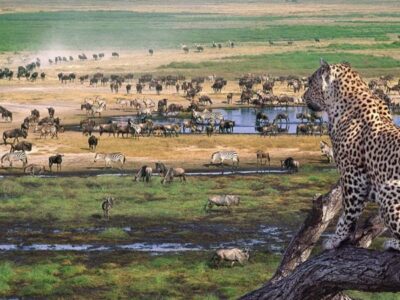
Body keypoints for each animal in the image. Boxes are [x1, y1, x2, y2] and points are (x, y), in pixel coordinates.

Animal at [304, 59, 400, 251]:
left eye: (311, 82)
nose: (303, 97)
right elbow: (353, 212)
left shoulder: (352, 174)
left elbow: (348, 211)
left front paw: (337, 238)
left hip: (389, 188)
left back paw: (392, 242)